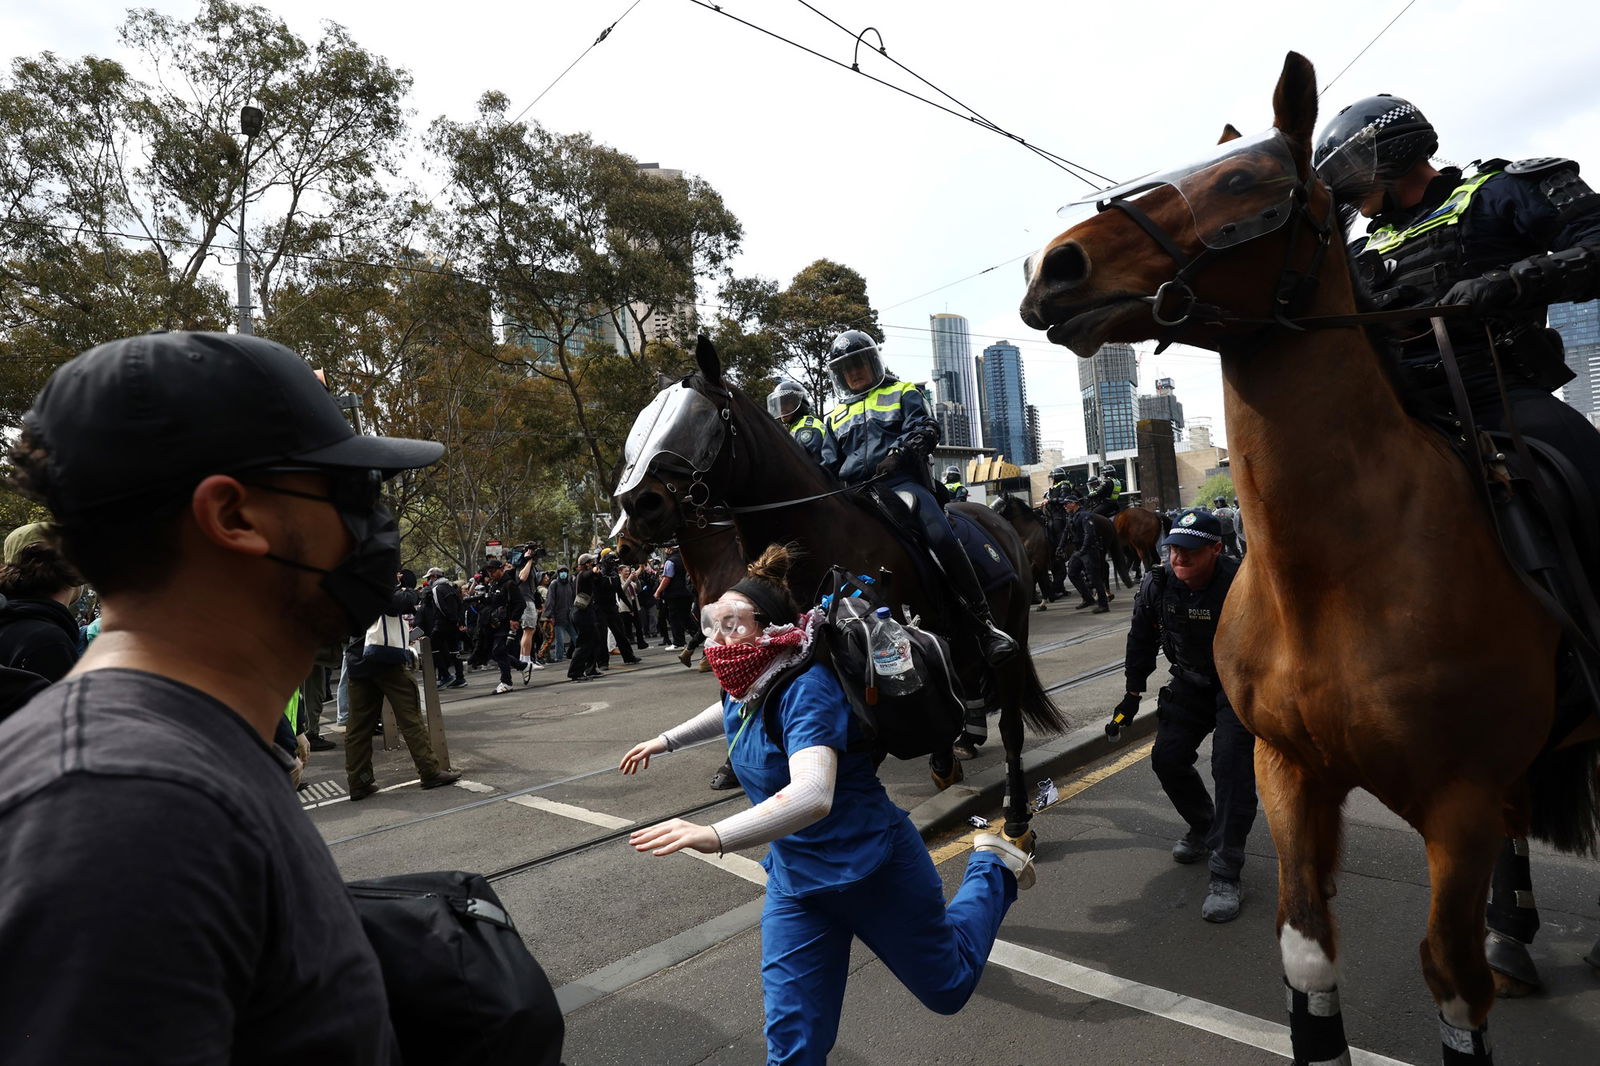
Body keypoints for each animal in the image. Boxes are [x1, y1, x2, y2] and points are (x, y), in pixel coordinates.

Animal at [617, 337, 1068, 838]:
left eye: (703, 420)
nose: (636, 509)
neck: (815, 536)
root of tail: (999, 521)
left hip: (1009, 635)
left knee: (1009, 723)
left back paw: (1015, 816)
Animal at [1017, 47, 1593, 1062]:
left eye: (1246, 182)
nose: (1055, 265)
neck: (1335, 577)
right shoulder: (1291, 770)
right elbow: (1308, 960)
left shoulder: (1457, 802)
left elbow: (1454, 986)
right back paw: (1515, 925)